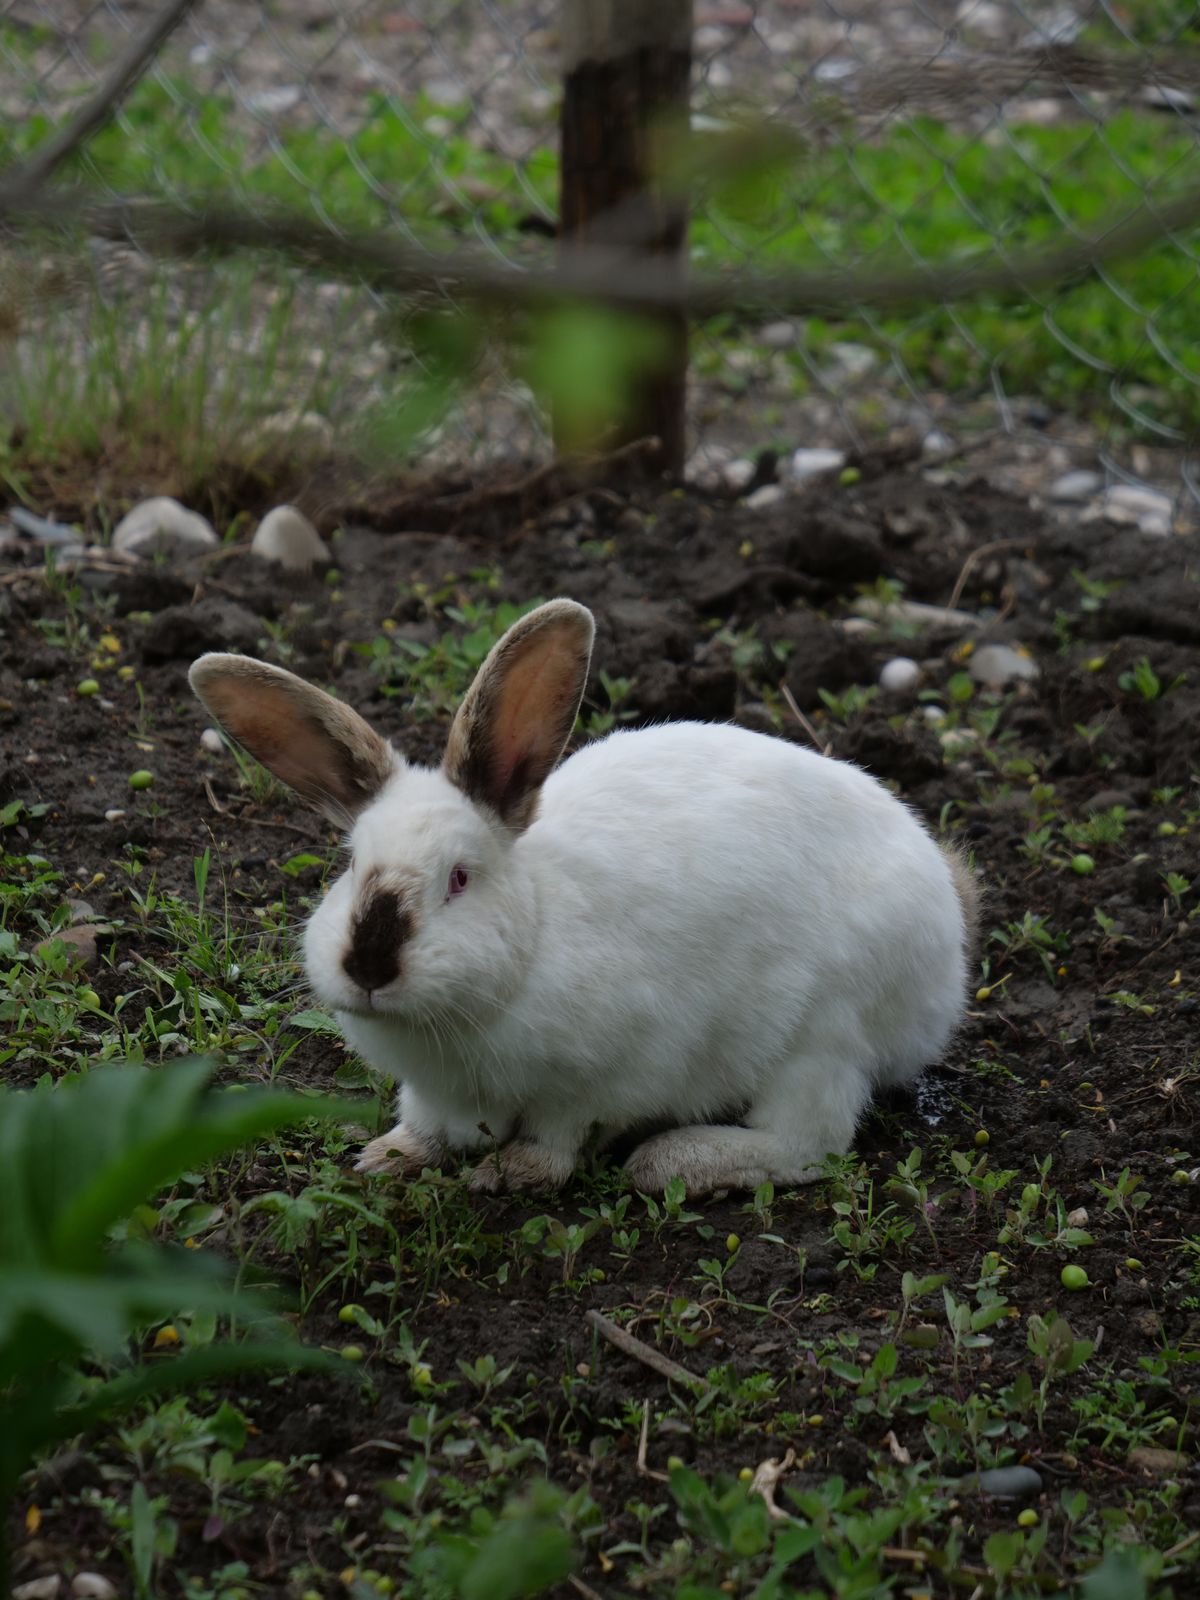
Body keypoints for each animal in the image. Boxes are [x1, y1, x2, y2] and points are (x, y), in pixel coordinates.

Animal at [189, 598, 978, 1196]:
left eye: (460, 877)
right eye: (352, 866)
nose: (370, 968)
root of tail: (948, 930)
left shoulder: (608, 1075)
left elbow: (559, 1135)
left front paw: (514, 1172)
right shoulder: (431, 1090)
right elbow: (425, 1123)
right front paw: (391, 1155)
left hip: (824, 1032)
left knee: (810, 1140)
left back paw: (675, 1161)